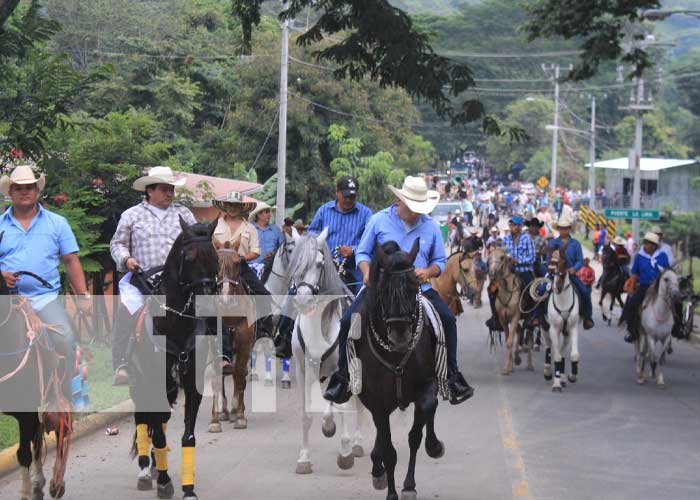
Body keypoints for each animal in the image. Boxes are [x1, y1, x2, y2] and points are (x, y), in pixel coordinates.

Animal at [129, 216, 219, 500]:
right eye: (189, 257)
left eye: (214, 256)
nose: (207, 302)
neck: (175, 323)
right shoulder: (152, 382)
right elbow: (157, 434)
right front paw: (165, 481)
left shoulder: (192, 384)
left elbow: (187, 437)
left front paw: (188, 488)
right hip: (139, 382)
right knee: (142, 418)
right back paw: (145, 468)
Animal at [208, 236, 258, 432]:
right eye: (215, 262)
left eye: (238, 263)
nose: (225, 296)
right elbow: (216, 377)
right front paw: (215, 419)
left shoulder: (244, 346)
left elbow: (239, 375)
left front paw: (240, 416)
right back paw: (224, 411)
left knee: (239, 375)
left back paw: (235, 408)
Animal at [284, 229, 366, 474]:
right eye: (295, 261)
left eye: (320, 264)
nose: (302, 298)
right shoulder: (304, 370)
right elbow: (306, 413)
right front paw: (304, 458)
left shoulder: (342, 370)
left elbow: (341, 407)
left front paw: (345, 453)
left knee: (357, 403)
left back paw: (357, 444)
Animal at [348, 239, 446, 500]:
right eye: (383, 290)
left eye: (414, 287)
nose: (400, 335)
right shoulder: (377, 401)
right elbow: (389, 450)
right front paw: (391, 491)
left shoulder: (427, 385)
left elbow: (418, 428)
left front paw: (411, 482)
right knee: (381, 437)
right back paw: (377, 469)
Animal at [540, 248, 580, 392]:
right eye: (552, 263)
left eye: (566, 262)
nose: (558, 286)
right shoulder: (554, 329)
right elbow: (556, 355)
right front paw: (556, 384)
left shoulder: (573, 327)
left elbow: (573, 355)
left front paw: (572, 376)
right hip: (545, 327)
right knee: (549, 346)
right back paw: (547, 372)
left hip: (566, 332)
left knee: (562, 351)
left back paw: (562, 377)